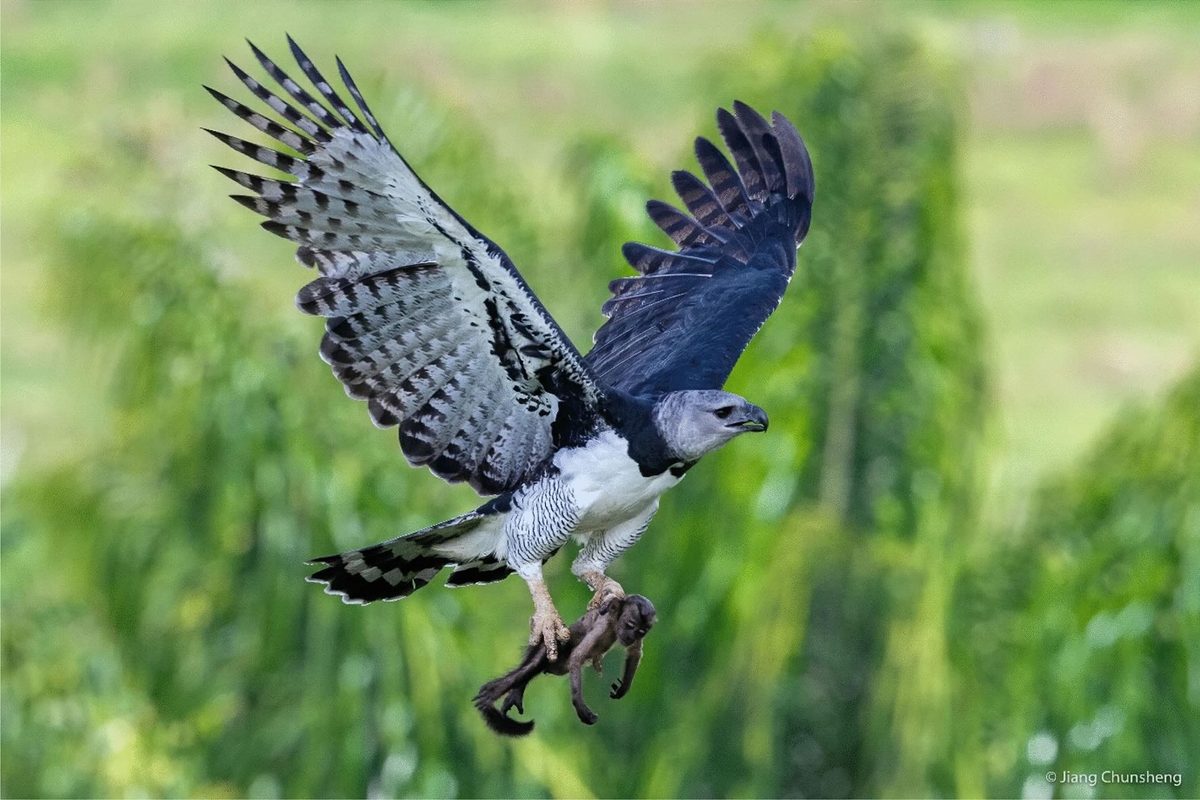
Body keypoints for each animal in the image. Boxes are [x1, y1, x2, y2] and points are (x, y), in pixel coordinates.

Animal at [473, 594, 656, 736]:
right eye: (630, 624)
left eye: (641, 632)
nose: (631, 636)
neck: (614, 623)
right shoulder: (602, 626)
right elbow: (577, 657)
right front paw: (580, 705)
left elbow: (635, 653)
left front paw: (623, 687)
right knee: (533, 665)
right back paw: (489, 694)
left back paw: (513, 693)